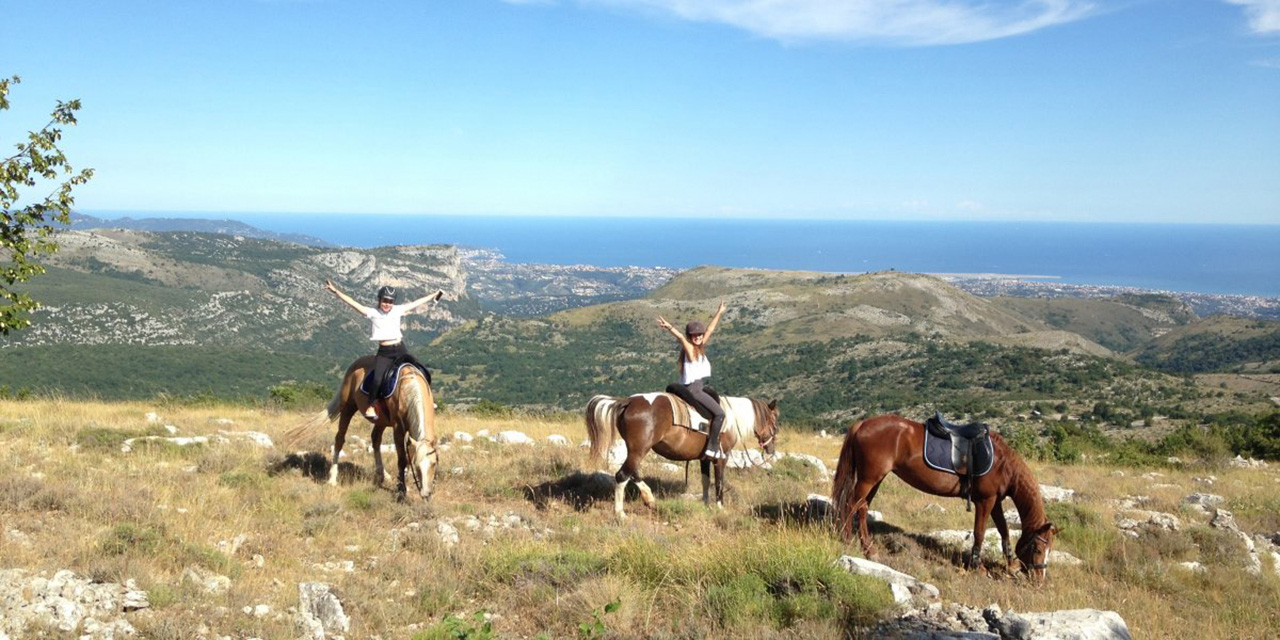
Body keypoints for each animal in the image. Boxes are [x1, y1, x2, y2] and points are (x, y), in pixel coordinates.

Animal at [325, 355, 440, 499]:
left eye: (434, 464)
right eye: (417, 466)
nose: (426, 494)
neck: (408, 387)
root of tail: (354, 365)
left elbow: (408, 456)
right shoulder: (398, 429)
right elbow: (402, 459)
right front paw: (401, 489)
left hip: (381, 421)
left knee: (375, 439)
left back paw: (383, 475)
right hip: (348, 407)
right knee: (340, 439)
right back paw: (332, 478)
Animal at [583, 389, 778, 519]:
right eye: (775, 421)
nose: (771, 450)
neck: (730, 418)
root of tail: (628, 401)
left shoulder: (704, 458)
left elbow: (705, 481)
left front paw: (705, 504)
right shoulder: (721, 458)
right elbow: (719, 483)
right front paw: (720, 507)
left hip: (634, 450)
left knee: (633, 472)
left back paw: (649, 499)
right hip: (639, 449)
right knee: (622, 475)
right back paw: (620, 513)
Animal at [829, 412, 1059, 578]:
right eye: (1038, 548)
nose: (1039, 580)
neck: (1003, 463)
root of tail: (862, 424)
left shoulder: (995, 502)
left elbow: (1004, 531)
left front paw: (1011, 564)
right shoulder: (984, 501)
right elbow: (980, 533)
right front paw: (978, 567)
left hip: (875, 479)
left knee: (861, 507)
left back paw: (867, 548)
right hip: (869, 478)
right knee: (851, 505)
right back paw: (850, 541)